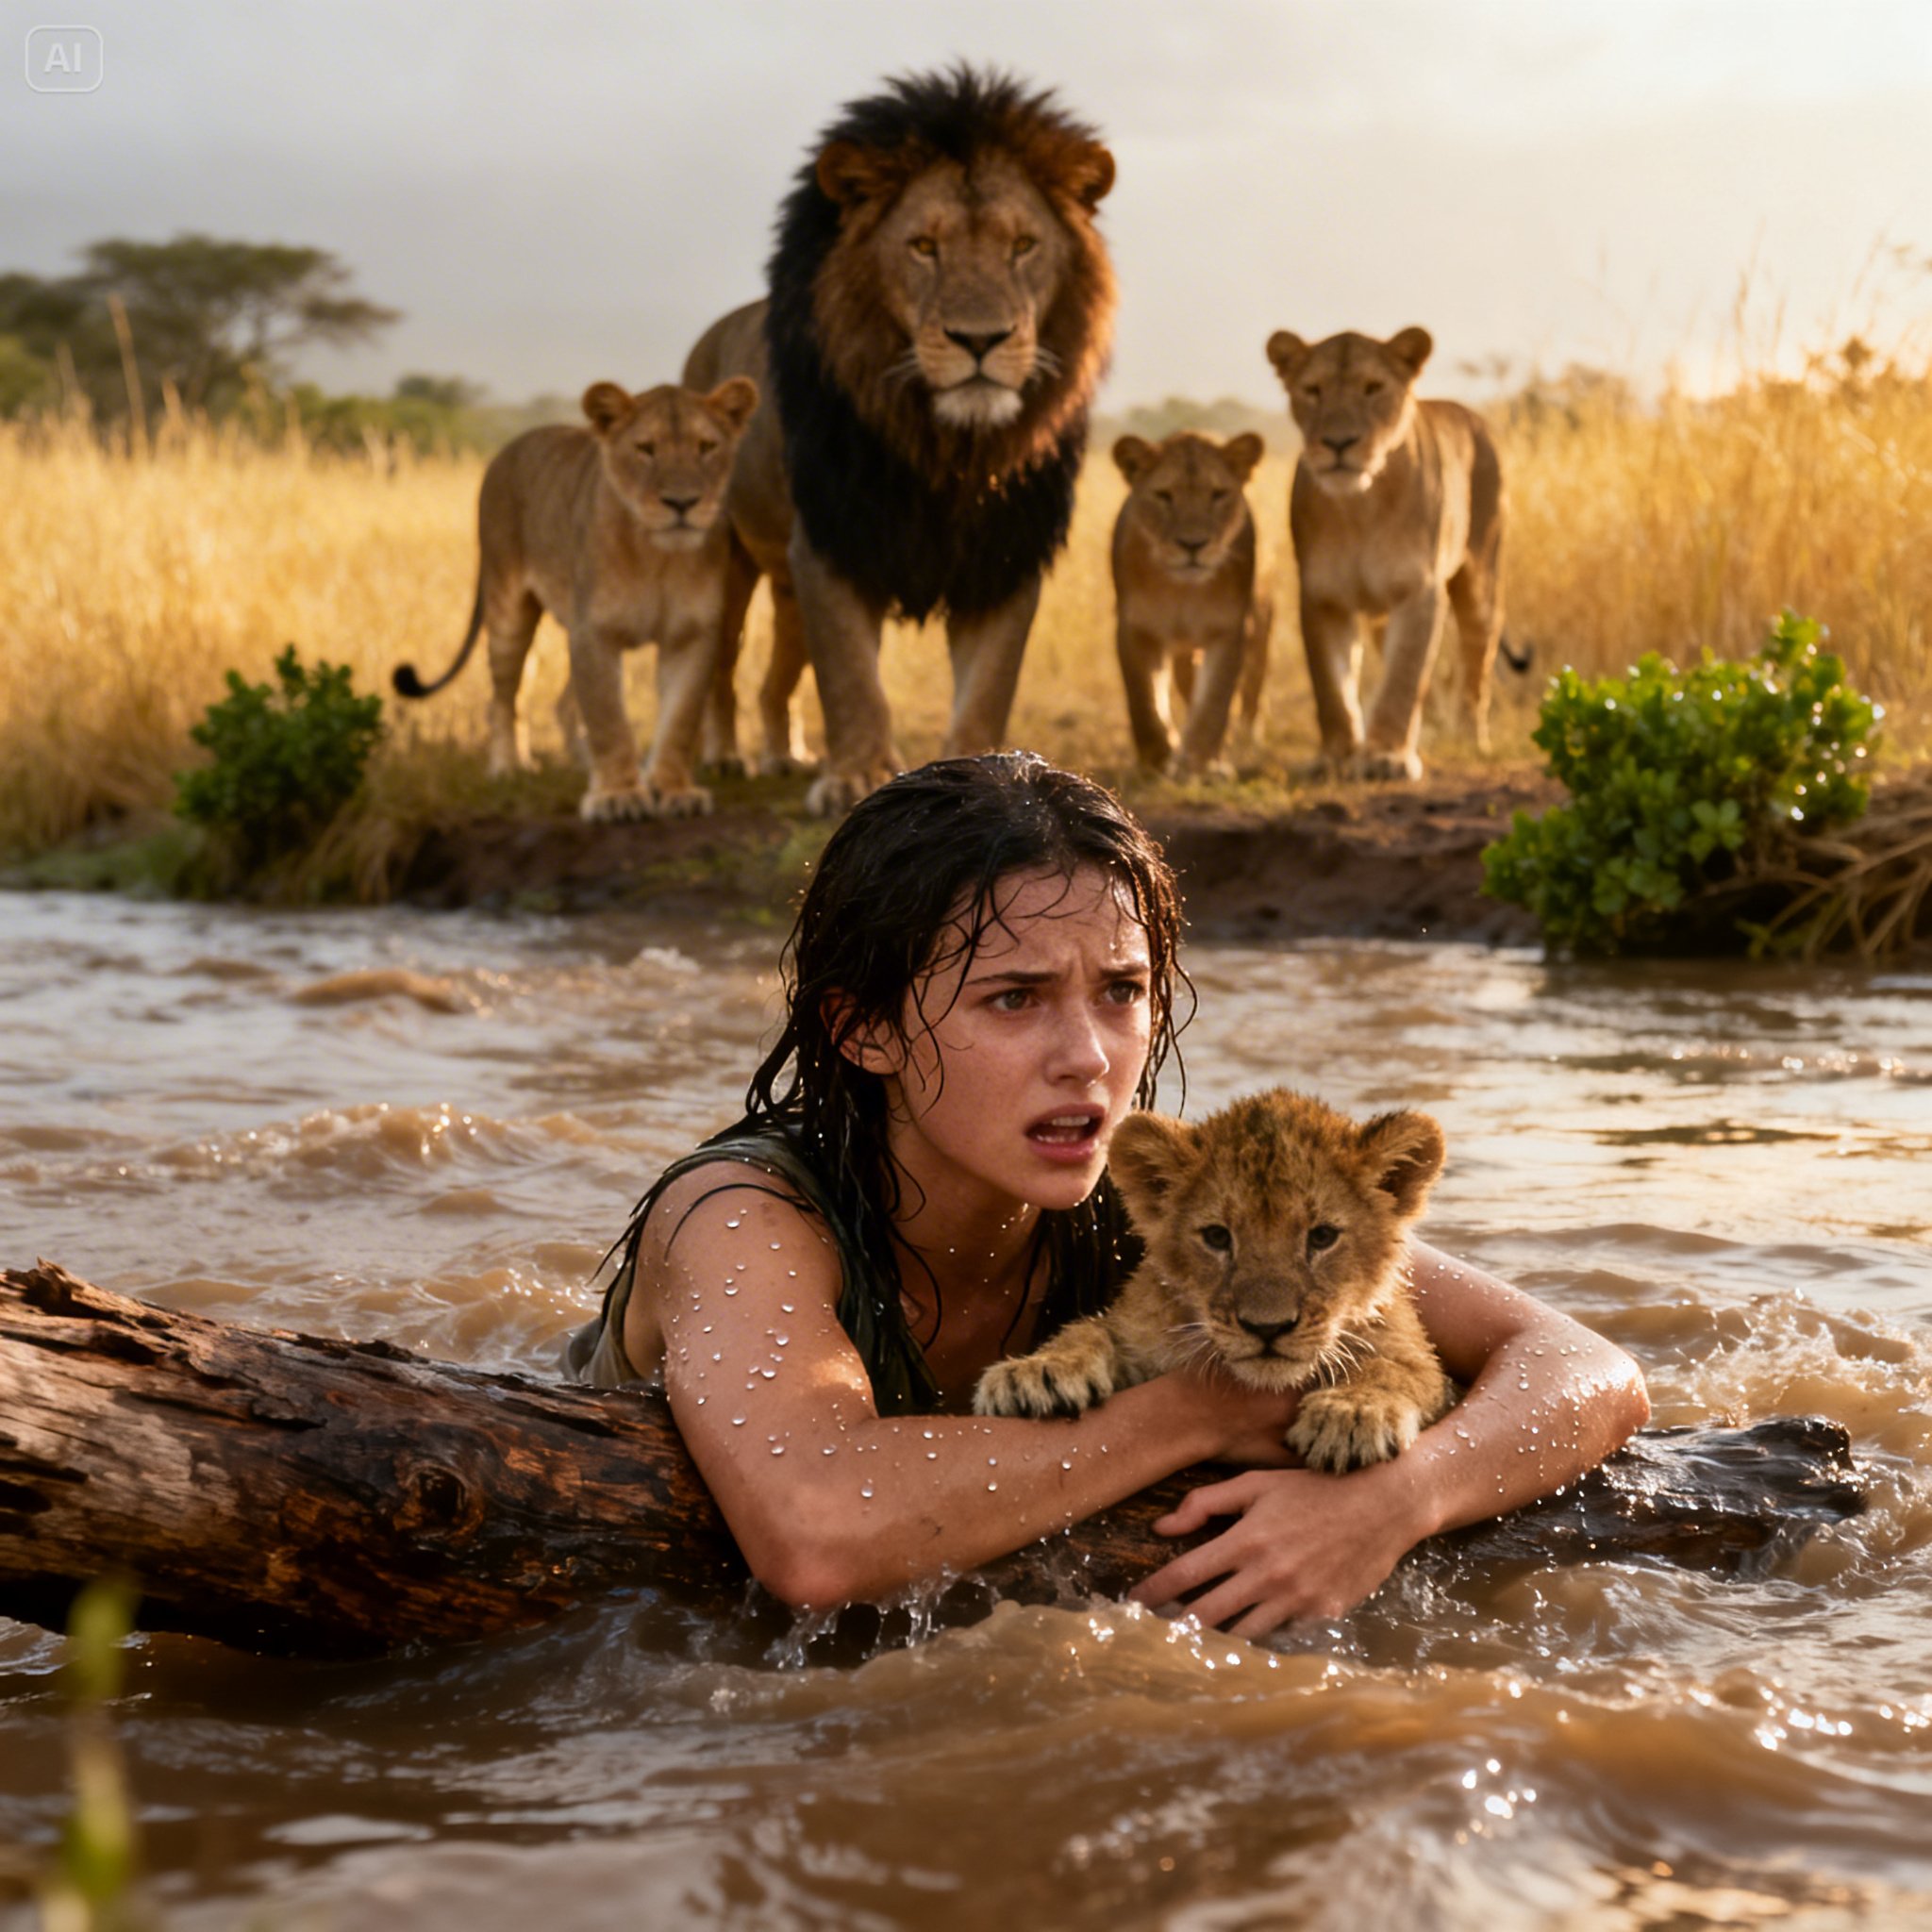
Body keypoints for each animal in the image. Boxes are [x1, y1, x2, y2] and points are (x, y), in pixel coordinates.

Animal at [391, 377, 758, 822]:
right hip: (508, 608)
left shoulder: (692, 634)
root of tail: (508, 448)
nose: (682, 502)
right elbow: (608, 718)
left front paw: (674, 791)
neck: (657, 556)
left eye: (706, 446)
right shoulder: (594, 632)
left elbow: (679, 721)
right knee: (505, 696)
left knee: (560, 701)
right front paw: (618, 796)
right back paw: (509, 767)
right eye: (646, 449)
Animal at [682, 65, 1117, 814]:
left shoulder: (1003, 552)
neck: (948, 446)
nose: (981, 340)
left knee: (777, 675)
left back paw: (783, 752)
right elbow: (851, 678)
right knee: (725, 663)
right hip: (727, 554)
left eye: (1022, 246)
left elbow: (989, 685)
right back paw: (726, 755)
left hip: (788, 587)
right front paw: (856, 775)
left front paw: (990, 774)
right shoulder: (833, 541)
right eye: (923, 247)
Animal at [973, 1088, 1457, 1474]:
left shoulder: (1408, 1346)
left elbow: (1400, 1368)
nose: (1267, 1328)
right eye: (1217, 1237)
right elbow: (1091, 1329)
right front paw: (1037, 1372)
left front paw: (1352, 1414)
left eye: (1321, 1236)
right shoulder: (1139, 1334)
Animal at [1112, 430, 1273, 777]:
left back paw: (1247, 733)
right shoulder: (1136, 629)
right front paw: (1158, 758)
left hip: (1262, 619)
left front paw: (1199, 762)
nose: (1193, 544)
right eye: (1163, 495)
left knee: (1253, 679)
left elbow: (1214, 700)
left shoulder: (1229, 629)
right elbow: (1143, 698)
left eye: (1218, 494)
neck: (1182, 590)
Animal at [1265, 326, 1506, 783]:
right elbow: (1331, 686)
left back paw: (1473, 735)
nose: (1339, 443)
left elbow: (1404, 678)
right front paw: (1337, 756)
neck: (1361, 506)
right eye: (1313, 390)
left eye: (1373, 388)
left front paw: (1386, 756)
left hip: (1481, 577)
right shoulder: (1322, 596)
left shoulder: (1419, 591)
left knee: (1478, 655)